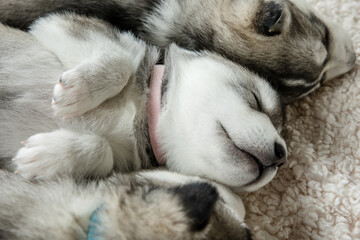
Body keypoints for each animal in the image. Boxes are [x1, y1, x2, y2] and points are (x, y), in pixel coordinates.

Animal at [0, 0, 356, 102]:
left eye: (316, 86)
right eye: (324, 37)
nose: (354, 60)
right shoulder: (58, 17)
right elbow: (121, 61)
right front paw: (79, 90)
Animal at [0, 14, 286, 192]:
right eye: (256, 100)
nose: (281, 155)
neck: (144, 112)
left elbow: (104, 150)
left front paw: (50, 156)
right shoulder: (57, 24)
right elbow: (120, 60)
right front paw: (78, 91)